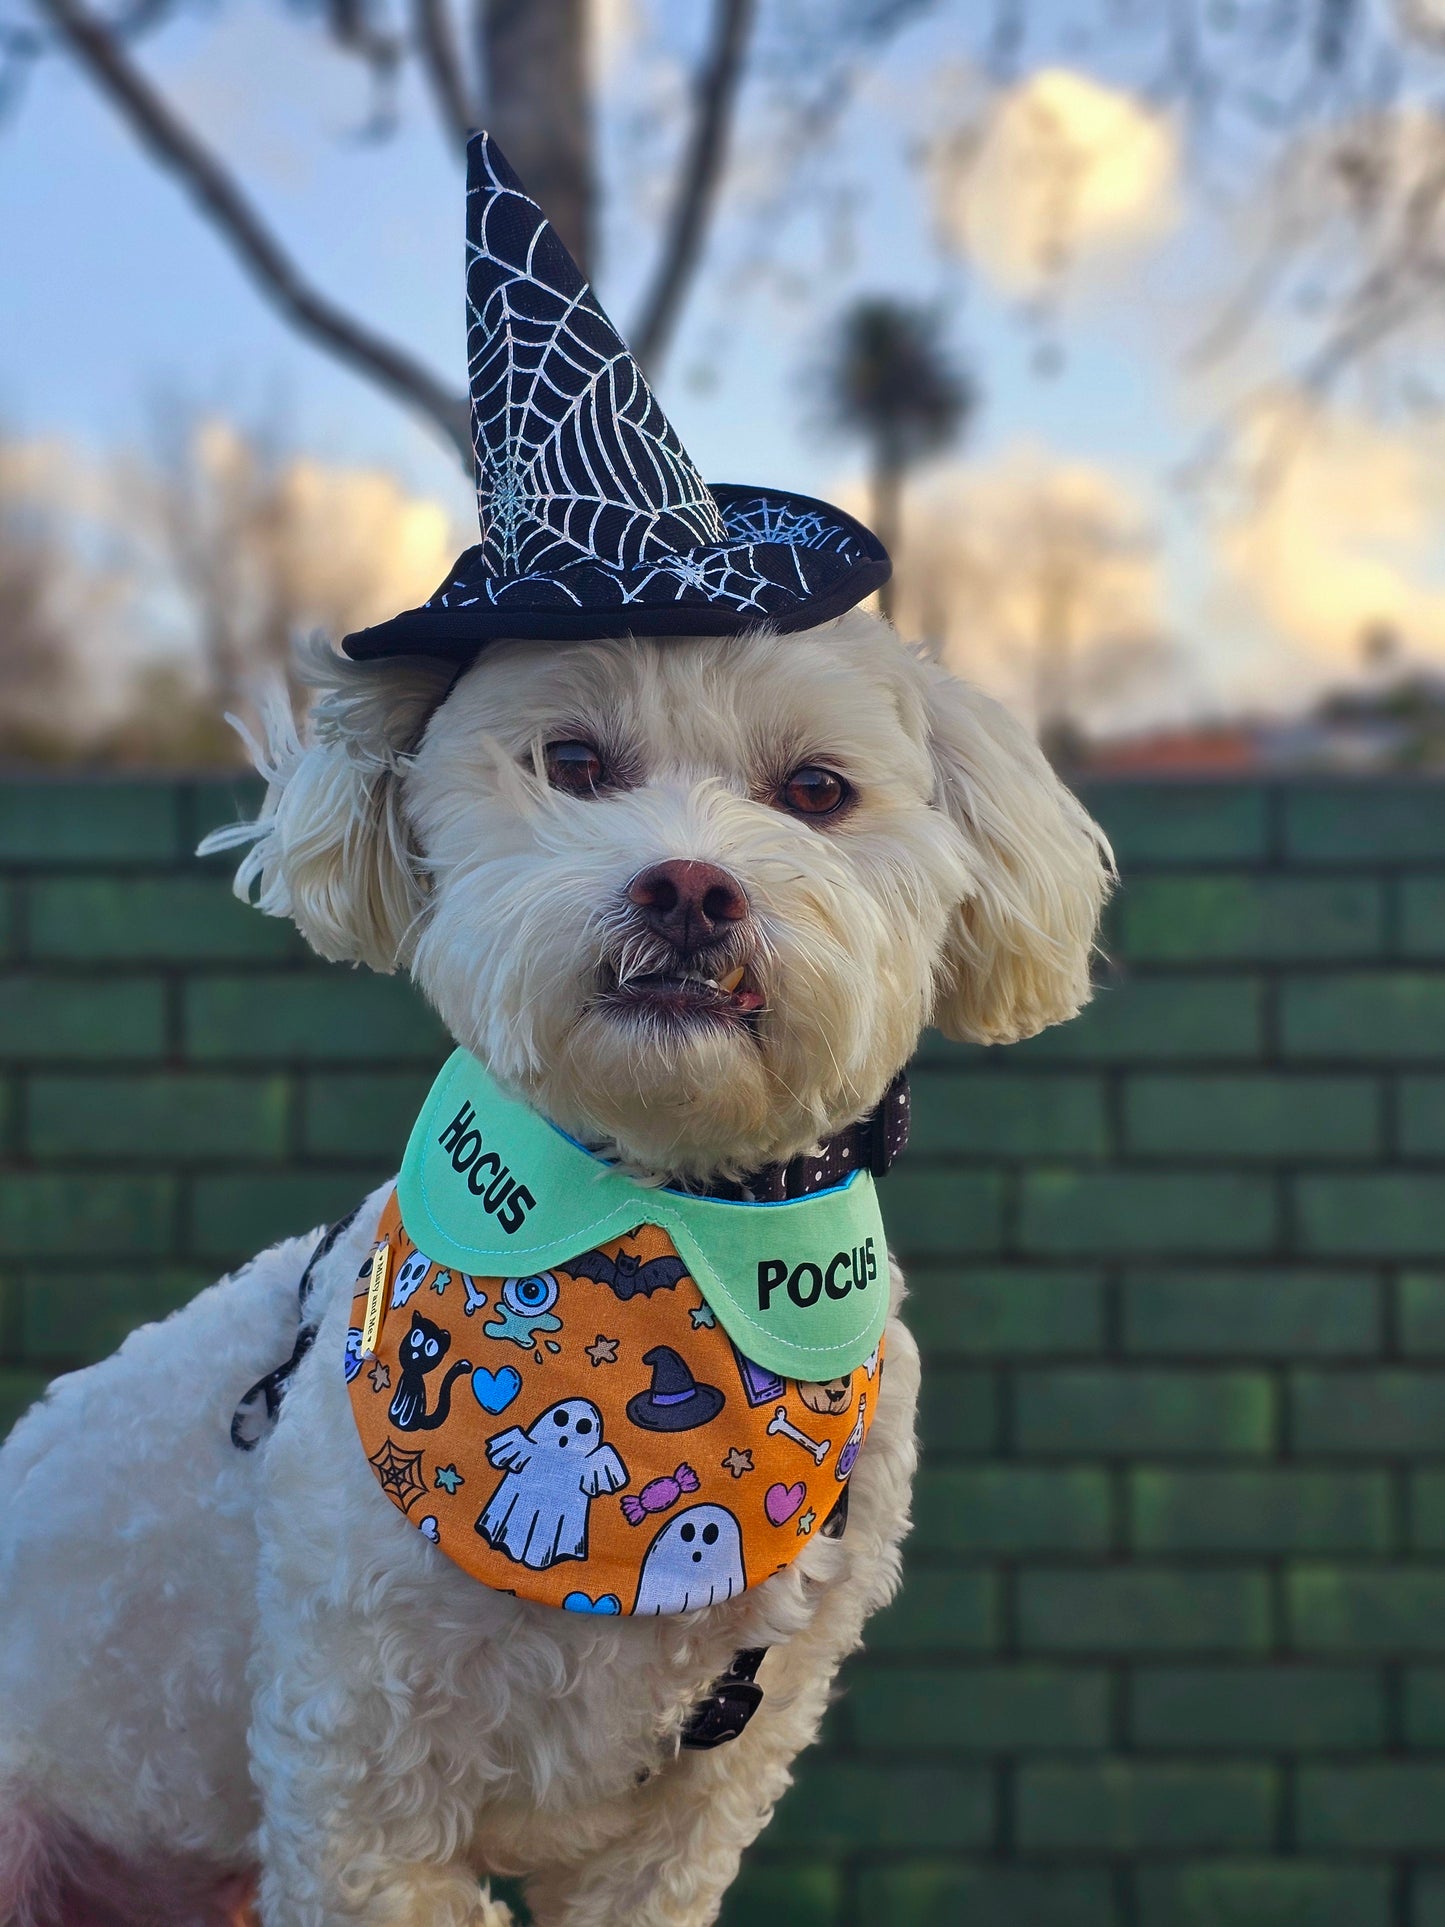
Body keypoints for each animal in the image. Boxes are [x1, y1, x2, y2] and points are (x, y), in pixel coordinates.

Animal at [0, 608, 1109, 1919]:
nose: (690, 888)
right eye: (572, 763)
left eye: (816, 790)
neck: (660, 1217)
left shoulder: (699, 1802)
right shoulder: (357, 1772)